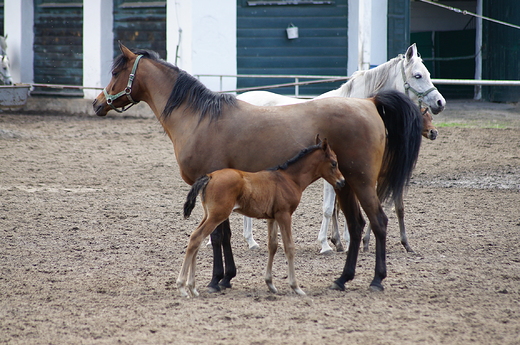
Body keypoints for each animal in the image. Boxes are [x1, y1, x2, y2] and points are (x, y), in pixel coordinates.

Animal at [210, 42, 442, 253]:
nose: (440, 102)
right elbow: (329, 209)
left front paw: (344, 242)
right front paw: (328, 244)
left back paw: (251, 241)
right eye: (418, 75)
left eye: (429, 73)